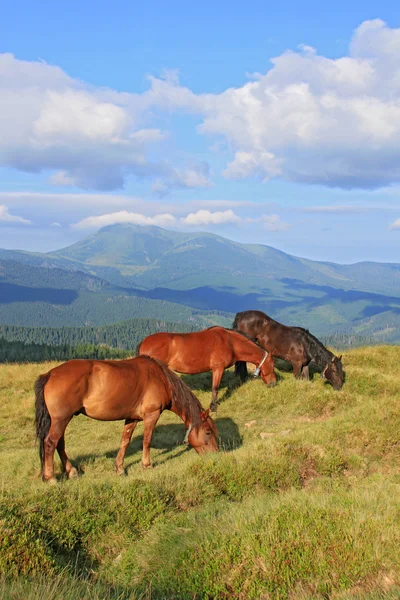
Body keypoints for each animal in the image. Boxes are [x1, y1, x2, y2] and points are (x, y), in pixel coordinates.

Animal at [33, 356, 219, 482]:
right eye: (208, 432)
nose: (216, 455)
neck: (161, 379)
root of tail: (50, 374)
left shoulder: (132, 418)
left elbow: (125, 441)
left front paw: (120, 468)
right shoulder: (151, 415)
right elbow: (147, 440)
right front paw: (147, 465)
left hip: (61, 420)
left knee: (60, 444)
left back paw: (71, 472)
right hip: (61, 419)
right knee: (50, 443)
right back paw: (50, 477)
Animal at [137, 324, 276, 412]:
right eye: (273, 365)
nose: (274, 383)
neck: (230, 342)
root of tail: (144, 342)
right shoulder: (218, 369)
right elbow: (215, 388)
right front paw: (213, 407)